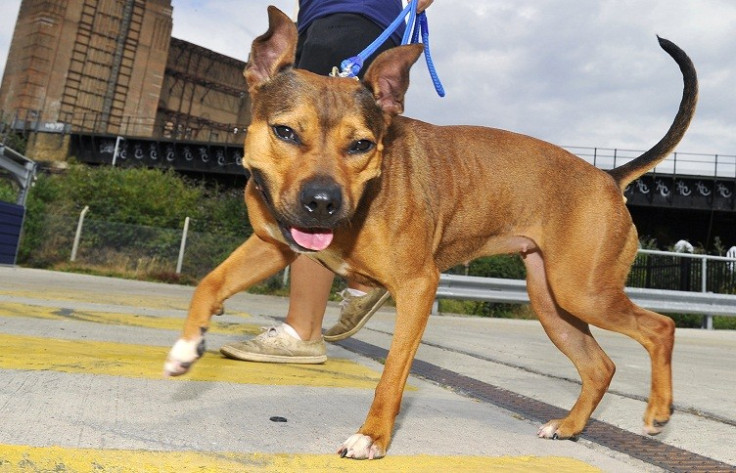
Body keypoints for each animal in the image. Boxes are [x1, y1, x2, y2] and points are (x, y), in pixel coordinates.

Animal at [164, 5, 700, 460]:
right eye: (285, 132)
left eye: (361, 144)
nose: (322, 202)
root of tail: (607, 177)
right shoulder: (273, 247)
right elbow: (208, 283)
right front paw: (186, 349)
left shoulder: (419, 287)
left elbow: (393, 374)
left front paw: (372, 438)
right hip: (554, 302)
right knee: (600, 366)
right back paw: (568, 426)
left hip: (583, 291)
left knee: (660, 328)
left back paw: (657, 412)